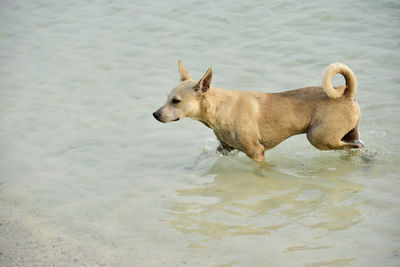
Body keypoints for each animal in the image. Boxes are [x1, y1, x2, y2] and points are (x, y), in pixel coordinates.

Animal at [153, 60, 362, 162]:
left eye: (176, 101)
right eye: (166, 98)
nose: (155, 114)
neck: (220, 107)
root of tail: (346, 93)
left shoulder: (256, 152)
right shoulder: (224, 149)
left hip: (318, 137)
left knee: (354, 146)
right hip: (345, 133)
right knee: (356, 145)